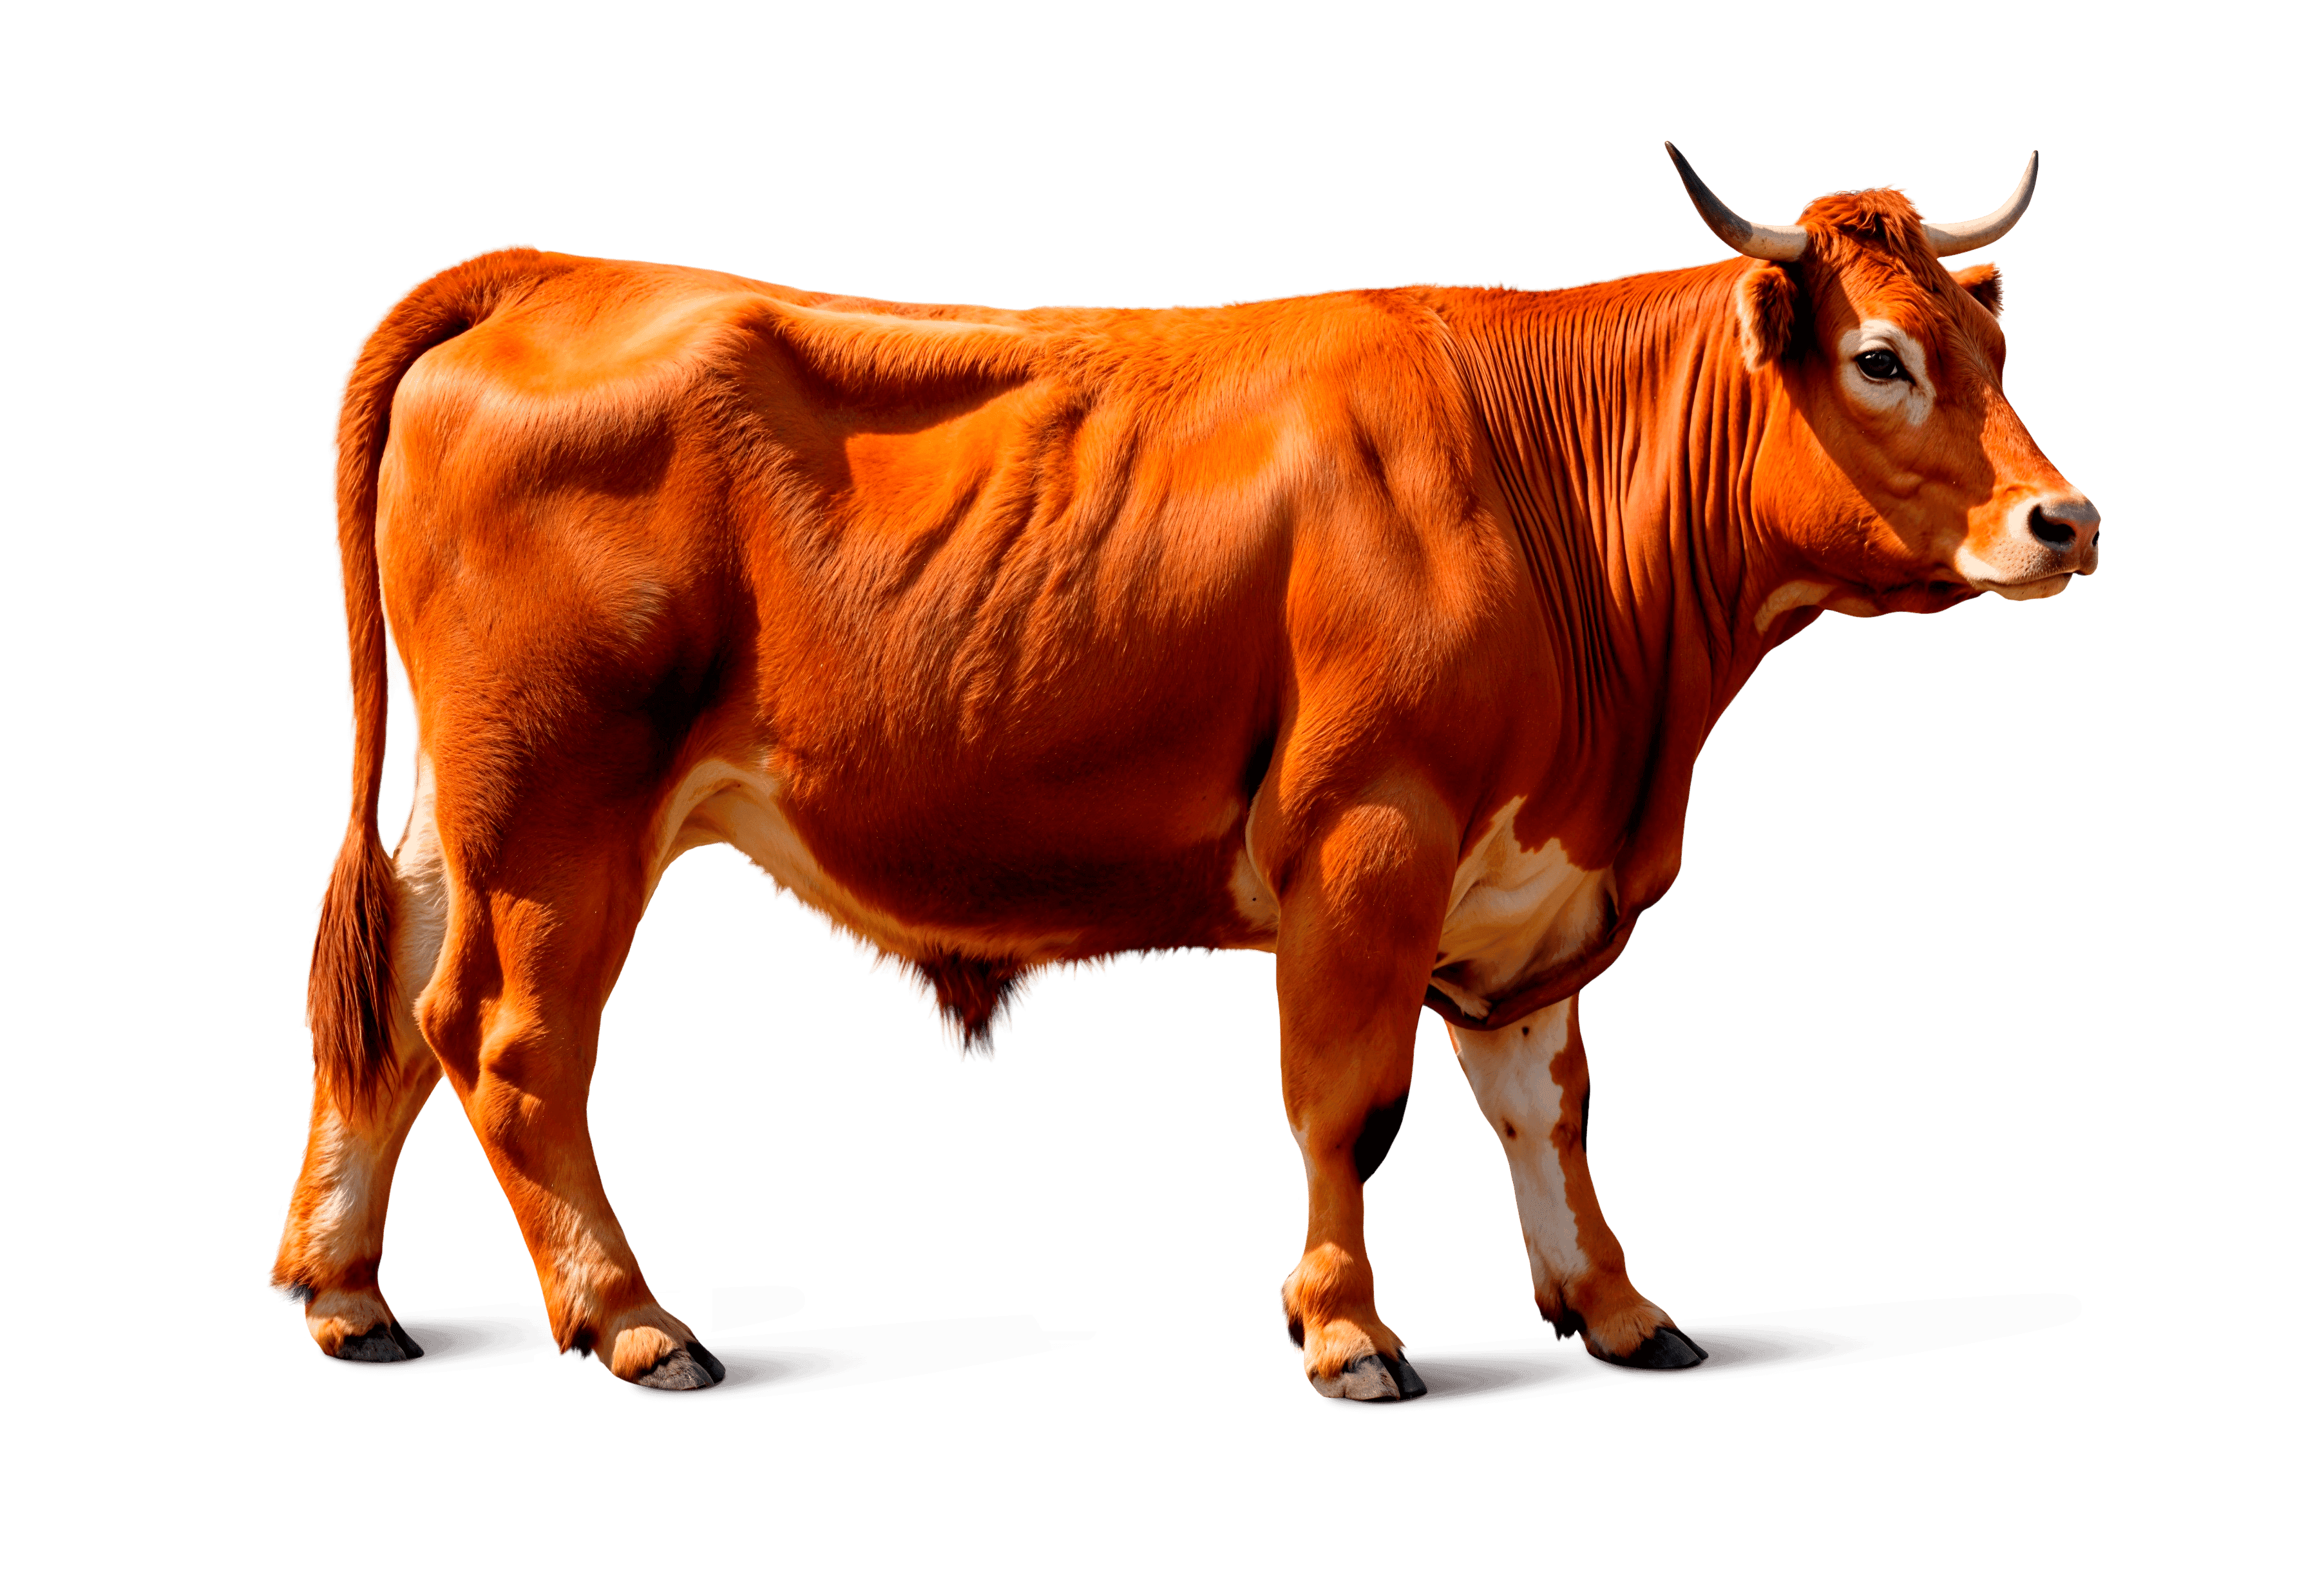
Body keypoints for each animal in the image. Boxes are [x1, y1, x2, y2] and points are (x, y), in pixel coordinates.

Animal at [269, 145, 2099, 1398]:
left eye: (1989, 347)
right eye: (1879, 355)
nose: (2063, 520)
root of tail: (557, 269)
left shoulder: (1526, 864)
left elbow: (1546, 1099)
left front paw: (1621, 1309)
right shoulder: (1368, 829)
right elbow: (1351, 1100)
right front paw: (1348, 1331)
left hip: (464, 802)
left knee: (387, 1001)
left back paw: (347, 1292)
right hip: (561, 800)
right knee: (505, 1040)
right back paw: (633, 1319)